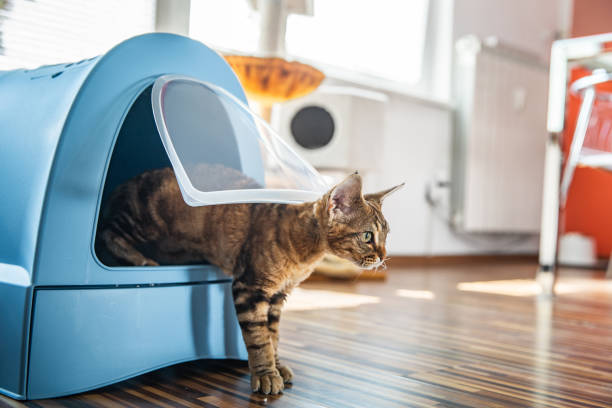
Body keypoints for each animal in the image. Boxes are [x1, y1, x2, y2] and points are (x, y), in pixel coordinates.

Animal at [97, 167, 402, 396]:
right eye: (367, 236)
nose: (383, 256)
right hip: (144, 223)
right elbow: (259, 338)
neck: (305, 256)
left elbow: (273, 336)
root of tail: (123, 186)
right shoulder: (250, 288)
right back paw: (141, 260)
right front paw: (266, 374)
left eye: (386, 235)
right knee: (108, 233)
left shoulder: (277, 296)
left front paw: (277, 366)